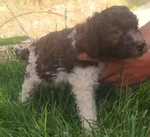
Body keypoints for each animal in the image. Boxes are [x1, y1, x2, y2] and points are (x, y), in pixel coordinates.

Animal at [13, 5, 147, 131]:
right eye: (117, 31)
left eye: (136, 28)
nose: (141, 45)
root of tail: (30, 48)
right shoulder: (83, 83)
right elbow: (88, 109)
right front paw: (91, 130)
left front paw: (127, 100)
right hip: (32, 74)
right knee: (25, 89)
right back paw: (23, 104)